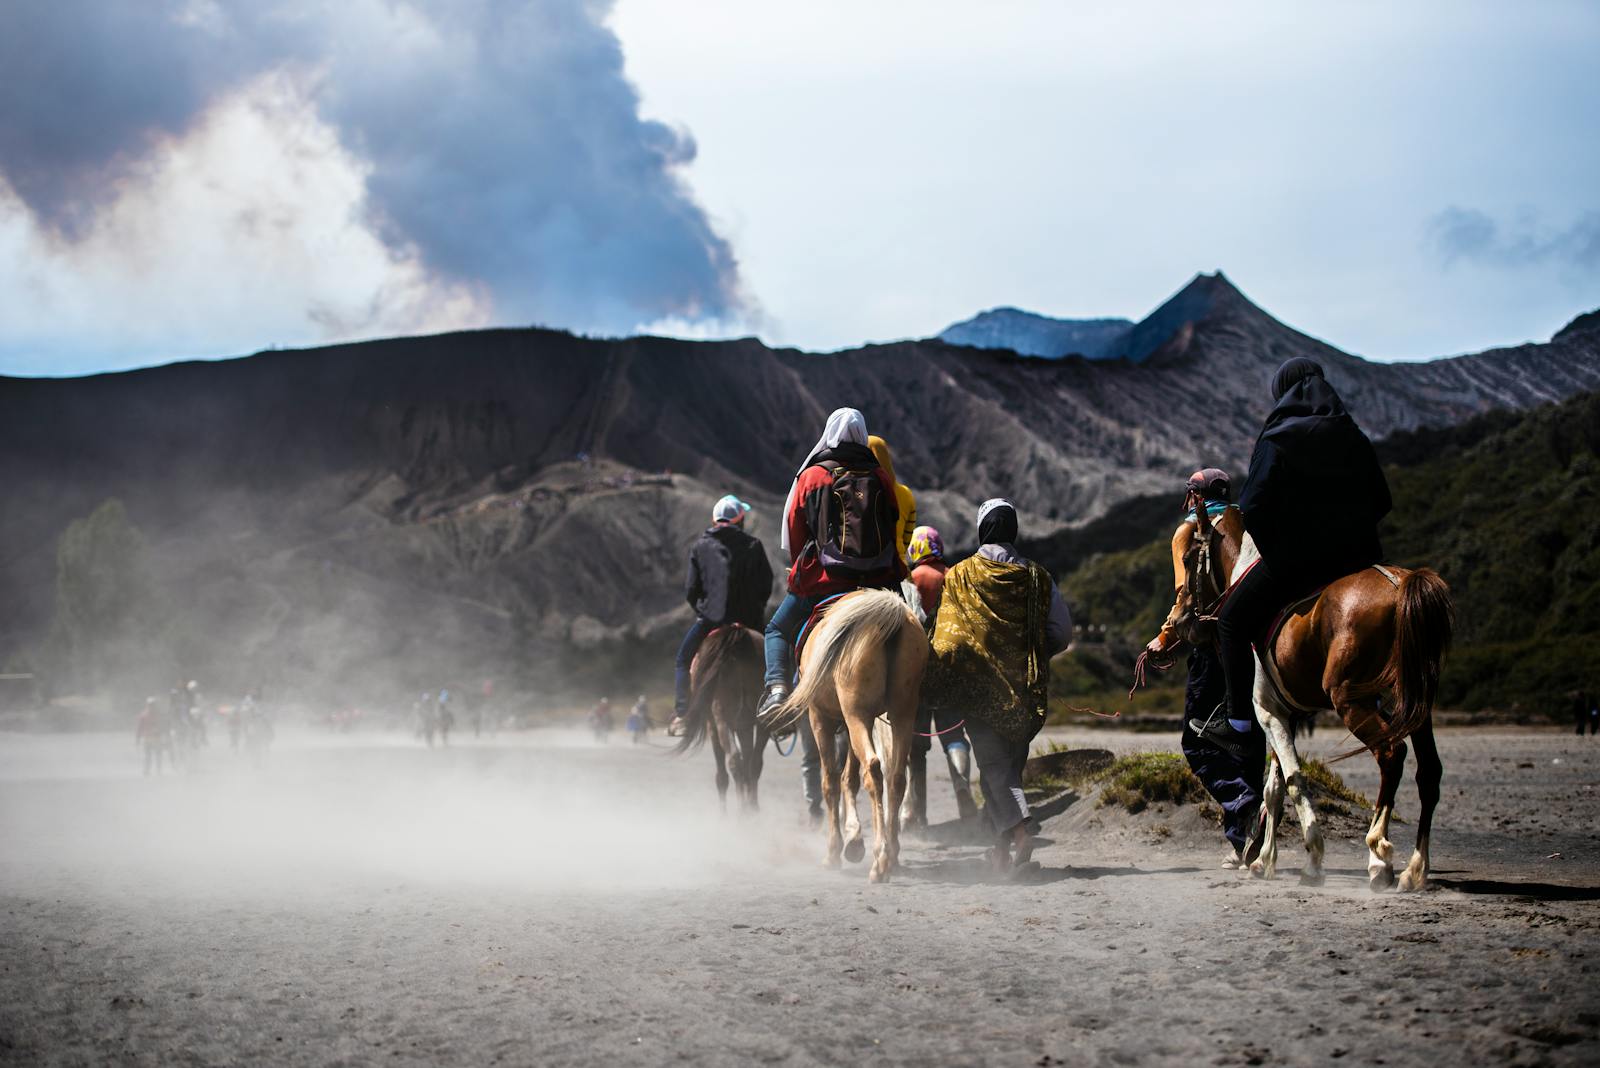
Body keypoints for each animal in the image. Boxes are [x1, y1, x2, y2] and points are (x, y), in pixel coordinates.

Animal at [672, 626, 771, 808]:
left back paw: (742, 810)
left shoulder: (712, 725)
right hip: (761, 720)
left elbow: (722, 776)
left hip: (721, 719)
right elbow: (748, 761)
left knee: (734, 760)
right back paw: (752, 808)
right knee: (754, 763)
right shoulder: (744, 726)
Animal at [764, 588, 928, 882]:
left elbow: (830, 781)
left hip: (855, 715)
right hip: (899, 712)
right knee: (895, 777)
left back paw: (880, 861)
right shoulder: (856, 722)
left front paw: (835, 851)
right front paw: (854, 839)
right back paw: (892, 854)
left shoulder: (821, 718)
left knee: (872, 770)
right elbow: (848, 778)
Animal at [1228, 534, 1459, 895]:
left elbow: (1292, 783)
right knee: (1429, 773)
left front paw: (1310, 860)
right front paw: (1263, 859)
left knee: (1391, 754)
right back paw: (1414, 869)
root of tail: (1399, 584)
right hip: (1416, 703)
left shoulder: (1268, 711)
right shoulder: (1285, 716)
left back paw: (1378, 852)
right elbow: (1274, 788)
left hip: (1351, 700)